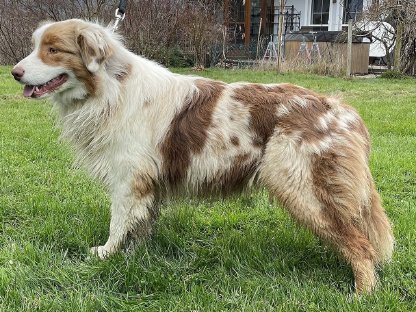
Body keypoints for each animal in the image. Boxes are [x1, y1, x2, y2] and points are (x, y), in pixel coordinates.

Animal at [10, 18, 394, 292]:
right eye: (37, 47)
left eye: (53, 50)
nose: (14, 73)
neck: (110, 88)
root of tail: (342, 111)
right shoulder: (146, 184)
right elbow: (140, 225)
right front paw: (133, 258)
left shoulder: (128, 180)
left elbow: (118, 223)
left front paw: (105, 255)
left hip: (300, 188)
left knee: (360, 244)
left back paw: (362, 293)